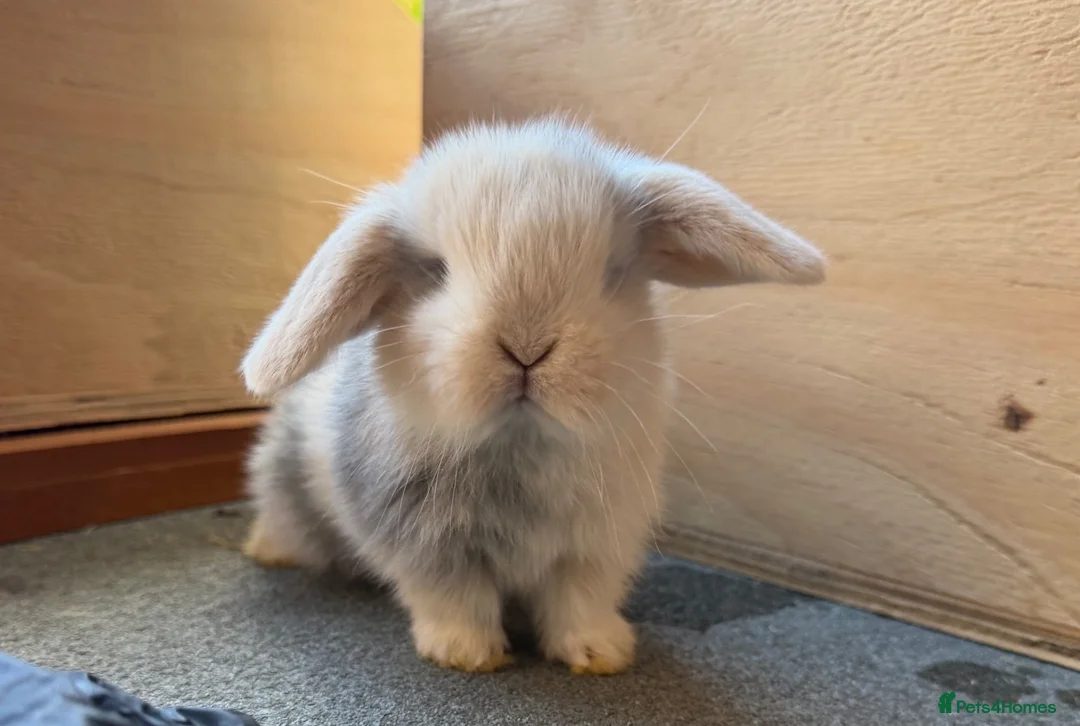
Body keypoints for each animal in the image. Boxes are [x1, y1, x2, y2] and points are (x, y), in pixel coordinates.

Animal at [238, 117, 826, 675]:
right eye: (435, 271)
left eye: (612, 272)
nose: (526, 349)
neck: (520, 443)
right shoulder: (426, 543)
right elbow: (456, 599)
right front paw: (467, 654)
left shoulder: (597, 544)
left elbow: (580, 600)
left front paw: (601, 653)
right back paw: (265, 551)